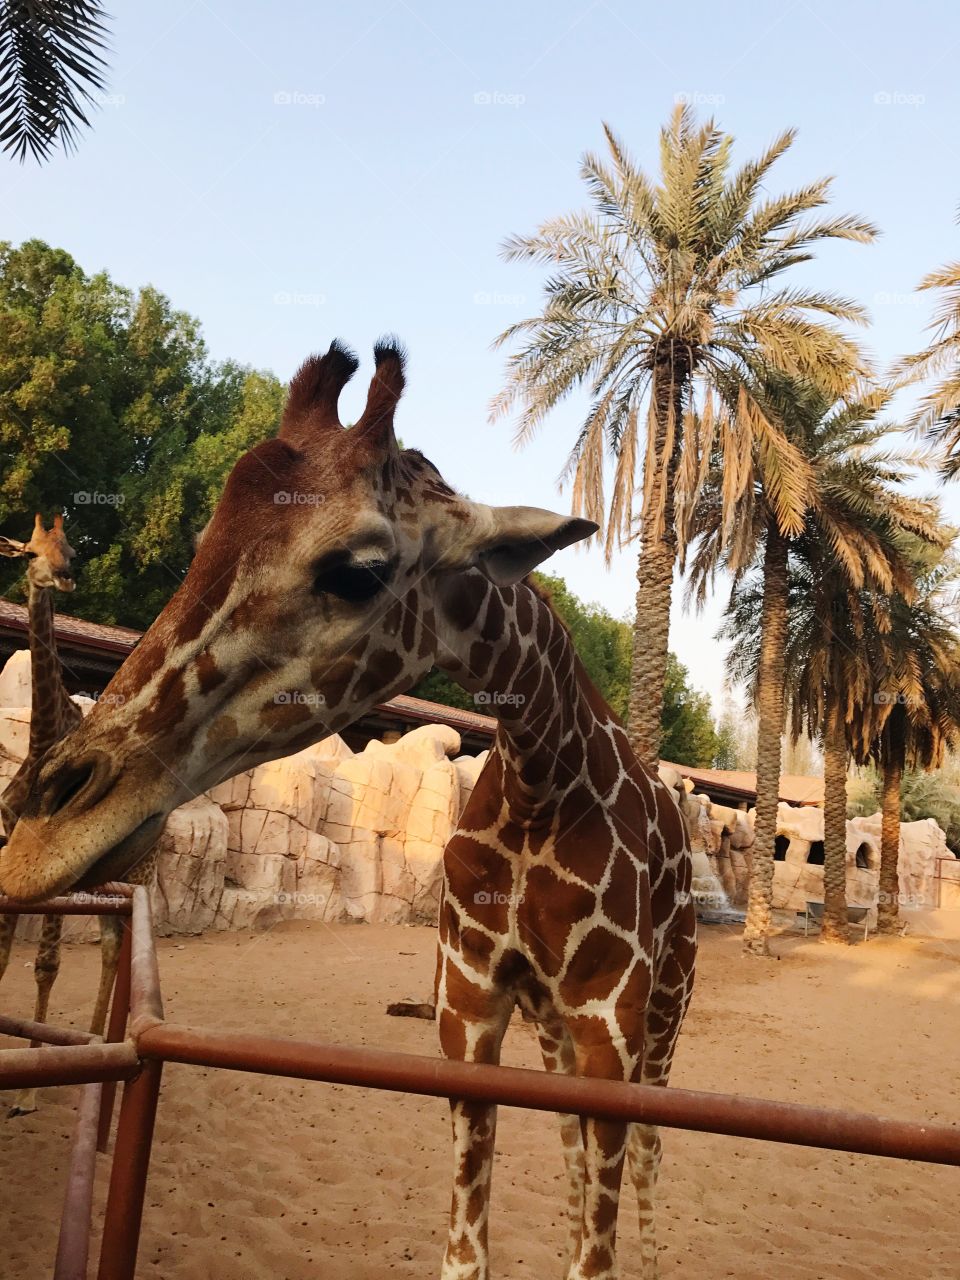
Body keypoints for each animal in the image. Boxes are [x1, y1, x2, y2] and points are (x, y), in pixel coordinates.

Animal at [0, 514, 157, 1115]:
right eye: (29, 552)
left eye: (68, 547)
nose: (63, 575)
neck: (43, 734)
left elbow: (47, 963)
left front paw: (28, 1091)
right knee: (114, 941)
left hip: (135, 874)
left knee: (117, 944)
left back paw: (98, 1053)